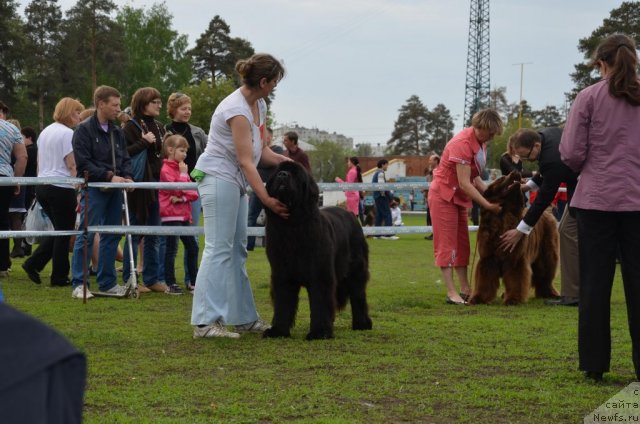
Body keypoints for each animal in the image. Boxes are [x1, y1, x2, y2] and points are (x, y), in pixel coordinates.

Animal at [262, 161, 372, 340]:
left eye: (295, 174)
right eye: (278, 171)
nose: (283, 175)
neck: (291, 227)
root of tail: (350, 214)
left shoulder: (320, 273)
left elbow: (320, 300)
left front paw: (320, 332)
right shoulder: (281, 273)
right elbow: (283, 301)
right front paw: (278, 330)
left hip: (356, 268)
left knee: (358, 295)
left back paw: (362, 324)